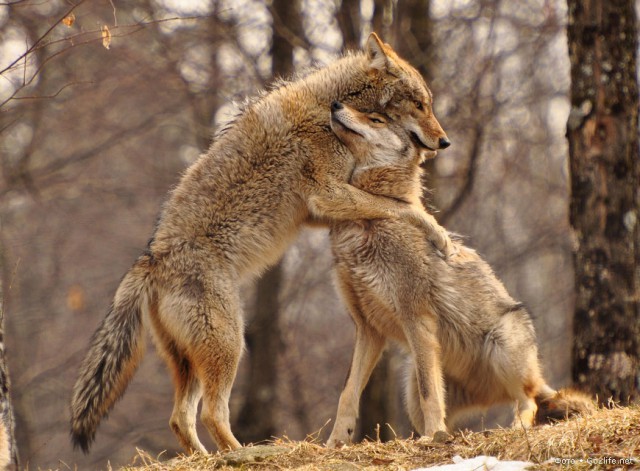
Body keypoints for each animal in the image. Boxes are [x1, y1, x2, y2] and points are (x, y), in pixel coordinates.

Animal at [70, 34, 450, 458]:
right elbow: (399, 207)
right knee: (211, 414)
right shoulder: (327, 195)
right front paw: (436, 231)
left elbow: (389, 204)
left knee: (180, 419)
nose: (444, 141)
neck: (329, 107)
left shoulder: (317, 211)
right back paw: (248, 452)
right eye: (420, 104)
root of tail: (150, 260)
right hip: (231, 347)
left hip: (193, 362)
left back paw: (209, 457)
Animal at [328, 101, 592, 448]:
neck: (368, 221)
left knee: (528, 401)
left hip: (501, 343)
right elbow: (347, 393)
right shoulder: (367, 329)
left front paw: (430, 439)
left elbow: (429, 392)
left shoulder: (417, 318)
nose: (335, 104)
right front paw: (334, 441)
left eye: (376, 119)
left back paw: (512, 428)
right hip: (412, 386)